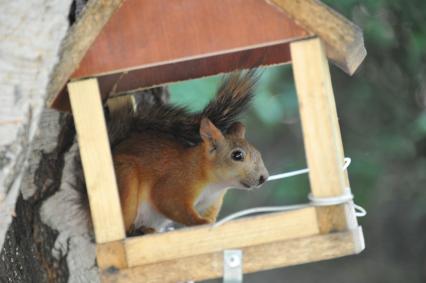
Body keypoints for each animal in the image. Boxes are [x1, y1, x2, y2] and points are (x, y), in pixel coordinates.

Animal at [110, 71, 270, 235]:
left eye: (259, 154)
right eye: (237, 155)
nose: (264, 177)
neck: (214, 184)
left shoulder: (210, 203)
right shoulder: (176, 183)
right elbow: (169, 203)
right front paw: (201, 222)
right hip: (126, 179)